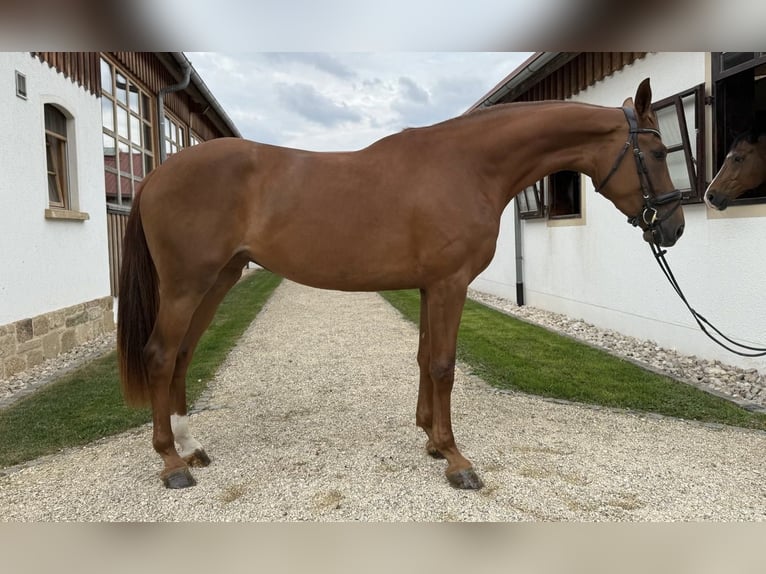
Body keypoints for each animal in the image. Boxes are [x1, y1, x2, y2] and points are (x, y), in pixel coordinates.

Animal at [117, 78, 685, 490]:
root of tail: (157, 173)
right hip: (187, 285)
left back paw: (190, 447)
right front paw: (456, 459)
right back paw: (172, 464)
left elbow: (424, 358)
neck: (468, 167)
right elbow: (443, 365)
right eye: (660, 154)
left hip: (217, 280)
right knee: (160, 356)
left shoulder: (431, 286)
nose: (673, 229)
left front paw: (432, 440)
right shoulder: (450, 284)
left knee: (183, 355)